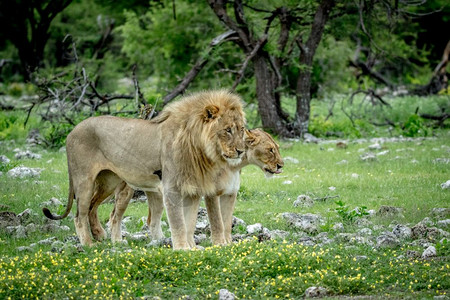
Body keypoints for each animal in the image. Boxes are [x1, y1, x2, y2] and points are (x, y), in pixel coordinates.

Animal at [42, 90, 246, 250]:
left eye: (242, 129)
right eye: (227, 130)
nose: (241, 151)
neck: (200, 149)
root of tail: (72, 131)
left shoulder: (193, 190)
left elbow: (189, 223)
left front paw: (192, 248)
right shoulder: (172, 188)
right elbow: (179, 223)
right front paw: (182, 249)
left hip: (109, 181)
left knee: (94, 207)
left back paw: (101, 236)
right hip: (84, 180)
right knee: (79, 215)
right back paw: (88, 244)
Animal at [109, 127, 284, 245]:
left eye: (277, 148)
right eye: (270, 150)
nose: (281, 166)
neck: (234, 166)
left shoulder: (230, 193)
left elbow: (227, 223)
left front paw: (229, 244)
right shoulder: (211, 193)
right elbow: (217, 222)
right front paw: (220, 245)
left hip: (156, 194)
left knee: (152, 220)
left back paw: (161, 241)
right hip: (126, 190)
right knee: (114, 217)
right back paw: (117, 241)